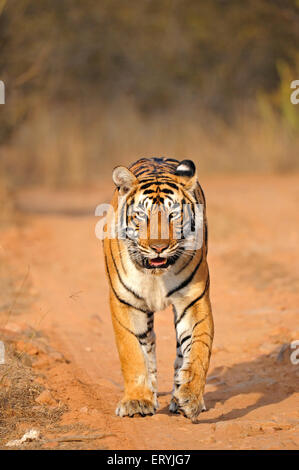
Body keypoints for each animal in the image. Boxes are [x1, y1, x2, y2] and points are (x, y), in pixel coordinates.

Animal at [103, 156, 213, 420]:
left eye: (173, 215)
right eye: (141, 215)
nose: (158, 247)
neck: (156, 274)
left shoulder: (193, 300)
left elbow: (198, 351)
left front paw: (190, 398)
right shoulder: (125, 302)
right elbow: (132, 353)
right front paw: (137, 400)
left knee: (180, 352)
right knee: (148, 343)